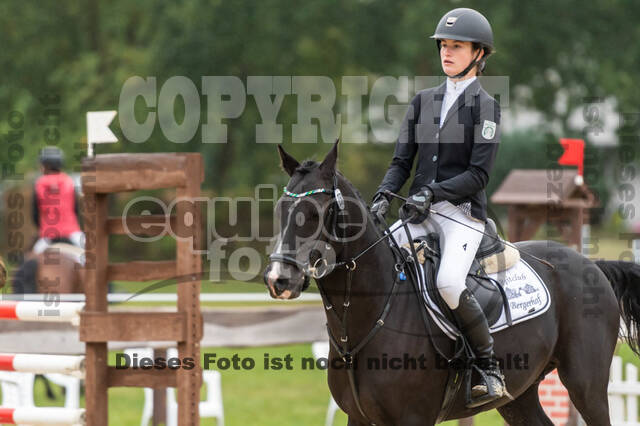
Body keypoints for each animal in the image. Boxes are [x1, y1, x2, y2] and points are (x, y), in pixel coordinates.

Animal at [263, 140, 640, 426]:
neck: (365, 319)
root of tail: (591, 265)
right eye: (279, 209)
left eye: (315, 212)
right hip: (519, 397)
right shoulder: (358, 418)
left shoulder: (413, 419)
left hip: (585, 386)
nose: (279, 279)